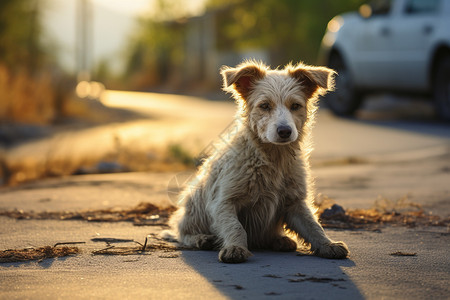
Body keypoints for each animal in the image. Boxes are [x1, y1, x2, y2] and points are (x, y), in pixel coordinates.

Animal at [167, 60, 350, 262]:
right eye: (264, 105)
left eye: (295, 106)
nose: (285, 131)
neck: (272, 157)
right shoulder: (223, 201)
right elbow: (236, 227)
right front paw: (235, 248)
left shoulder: (295, 202)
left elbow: (313, 226)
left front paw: (328, 245)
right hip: (193, 205)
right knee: (182, 233)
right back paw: (201, 239)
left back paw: (280, 240)